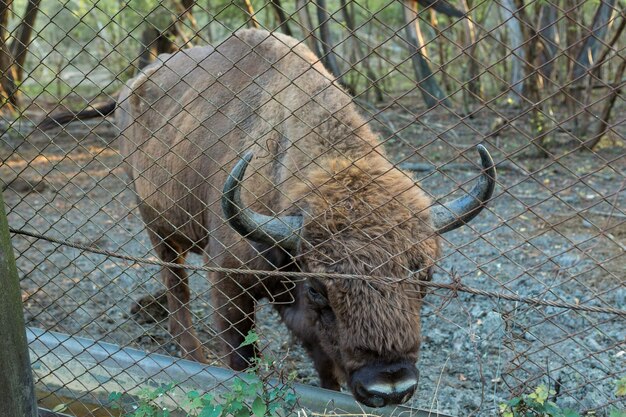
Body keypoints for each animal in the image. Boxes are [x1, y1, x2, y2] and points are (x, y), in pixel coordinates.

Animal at [42, 28, 492, 406]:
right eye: (318, 288)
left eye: (426, 275)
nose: (391, 385)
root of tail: (130, 88)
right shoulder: (230, 288)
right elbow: (244, 359)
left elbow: (325, 365)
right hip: (157, 223)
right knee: (175, 283)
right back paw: (193, 351)